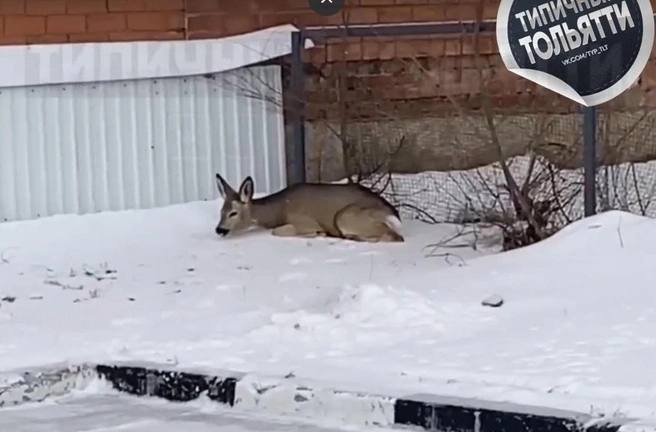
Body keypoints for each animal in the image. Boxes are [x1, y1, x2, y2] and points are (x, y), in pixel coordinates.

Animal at [214, 174, 404, 245]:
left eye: (233, 213)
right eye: (221, 211)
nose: (219, 229)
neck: (279, 210)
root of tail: (394, 215)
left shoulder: (304, 221)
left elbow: (277, 232)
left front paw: (318, 234)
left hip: (345, 216)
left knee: (394, 236)